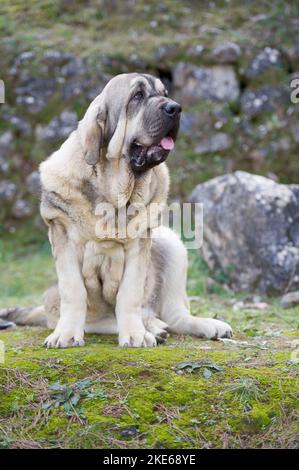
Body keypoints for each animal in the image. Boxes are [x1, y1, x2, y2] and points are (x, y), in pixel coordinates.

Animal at [0, 72, 233, 346]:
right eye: (137, 96)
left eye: (164, 93)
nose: (175, 108)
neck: (114, 193)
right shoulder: (62, 236)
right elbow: (74, 292)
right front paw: (66, 334)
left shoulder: (140, 245)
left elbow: (129, 295)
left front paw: (135, 335)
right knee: (99, 320)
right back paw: (152, 327)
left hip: (171, 243)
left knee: (173, 314)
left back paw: (197, 325)